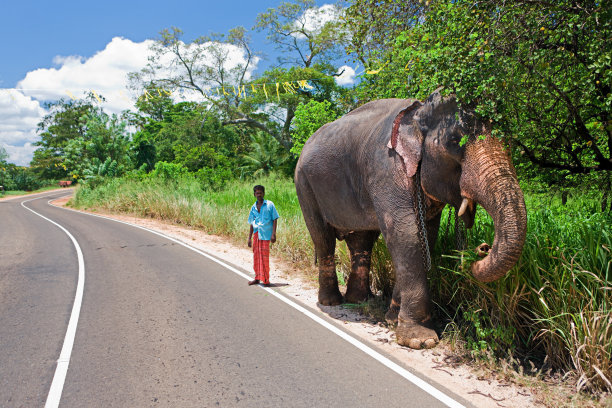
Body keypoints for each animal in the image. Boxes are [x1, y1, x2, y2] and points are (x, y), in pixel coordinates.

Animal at [292, 91, 524, 350]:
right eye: (454, 141)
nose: (481, 249)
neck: (418, 112)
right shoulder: (386, 168)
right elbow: (406, 236)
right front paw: (420, 341)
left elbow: (426, 238)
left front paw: (393, 320)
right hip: (303, 184)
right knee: (323, 240)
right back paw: (331, 303)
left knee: (361, 242)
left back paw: (359, 301)